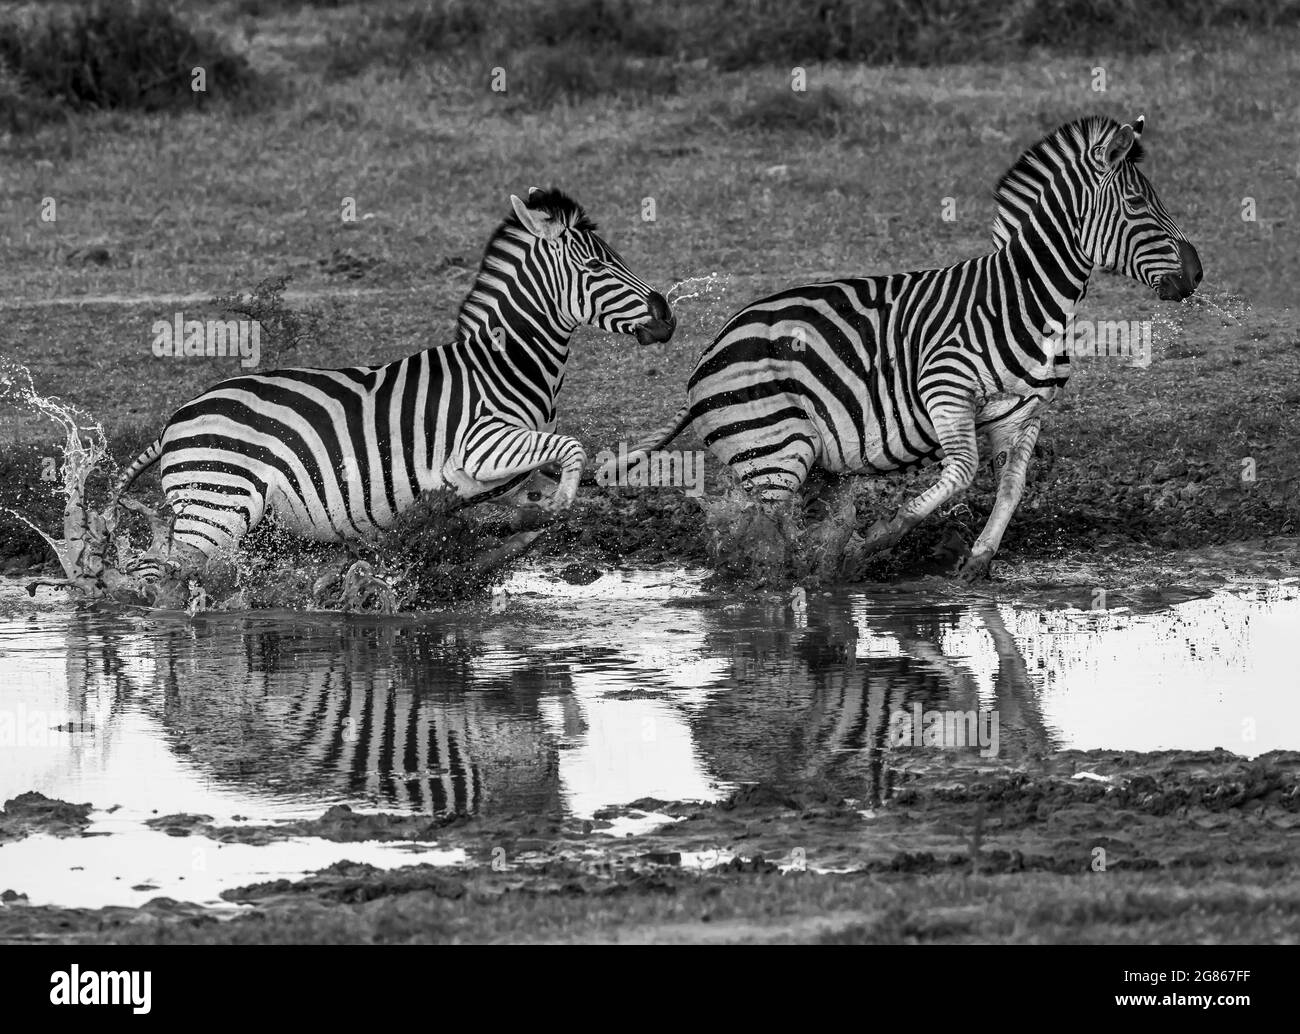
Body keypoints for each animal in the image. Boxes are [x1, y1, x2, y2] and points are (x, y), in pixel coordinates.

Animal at [113, 189, 676, 569]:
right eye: (597, 266)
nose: (667, 314)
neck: (503, 363)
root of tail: (174, 421)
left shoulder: (507, 470)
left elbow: (541, 484)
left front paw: (523, 532)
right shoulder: (481, 445)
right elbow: (572, 447)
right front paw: (559, 507)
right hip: (216, 508)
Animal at [603, 119, 1201, 582]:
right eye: (1136, 203)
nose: (1196, 273)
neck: (1023, 299)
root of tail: (714, 345)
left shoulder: (1023, 409)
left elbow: (1012, 486)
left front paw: (978, 560)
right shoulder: (945, 387)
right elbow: (960, 473)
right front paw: (873, 543)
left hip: (806, 456)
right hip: (773, 450)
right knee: (766, 535)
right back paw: (787, 579)